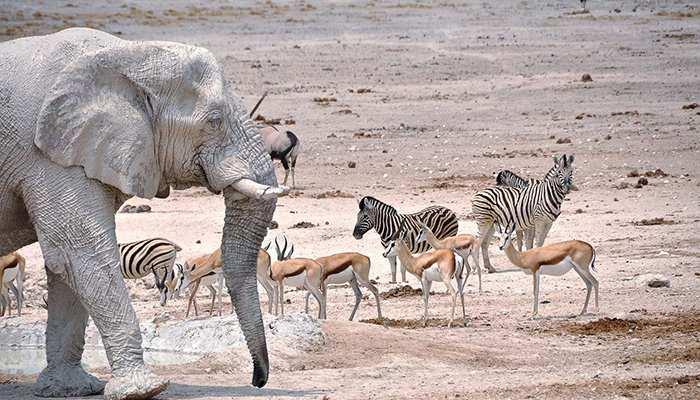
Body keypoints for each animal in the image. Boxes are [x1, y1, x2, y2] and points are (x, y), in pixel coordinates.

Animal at [0, 28, 288, 400]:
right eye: (214, 121)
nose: (258, 379)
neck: (130, 54)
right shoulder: (45, 155)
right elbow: (80, 254)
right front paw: (143, 390)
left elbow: (64, 264)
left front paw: (71, 388)